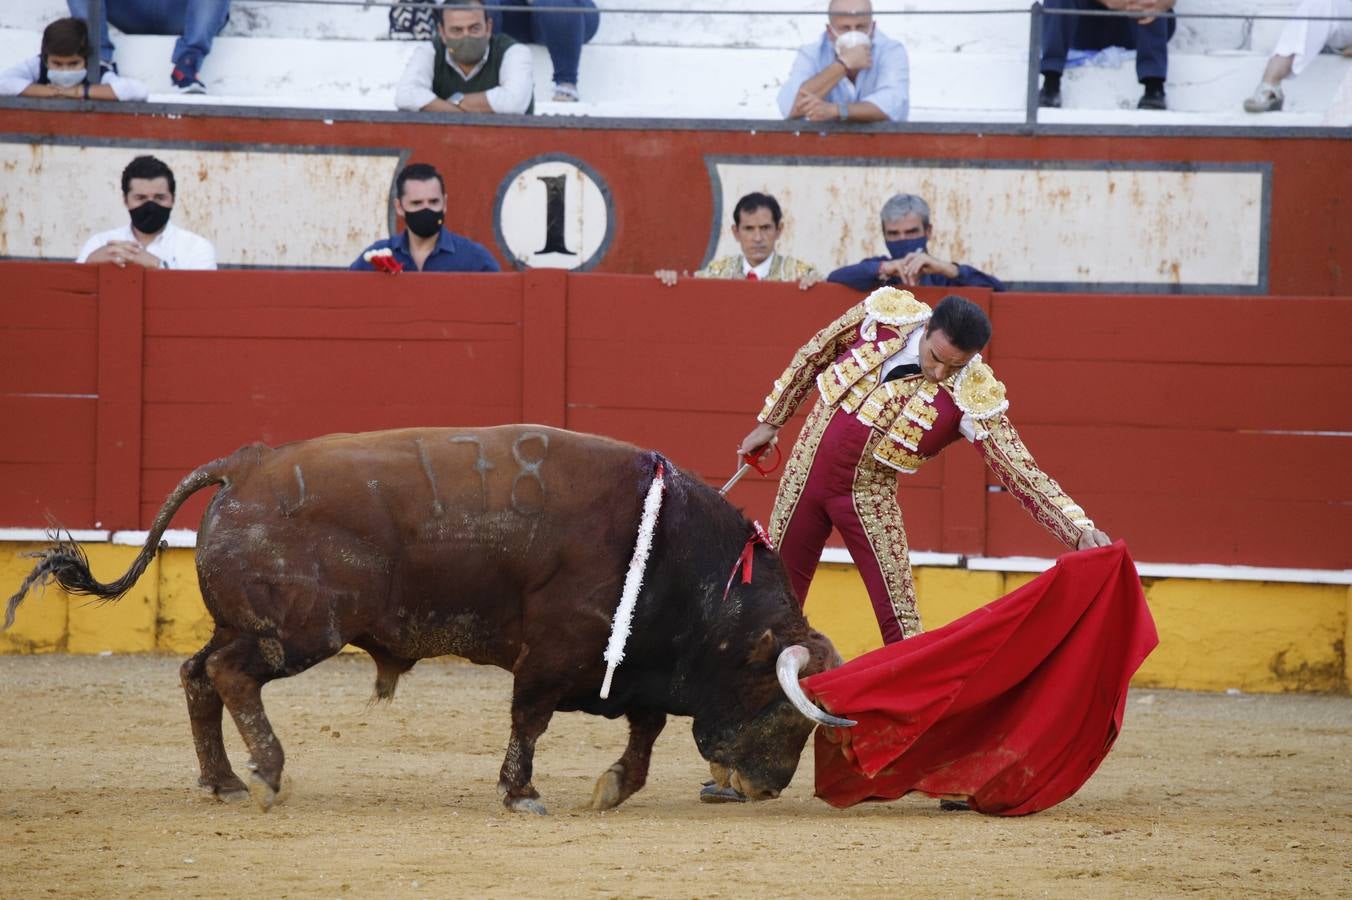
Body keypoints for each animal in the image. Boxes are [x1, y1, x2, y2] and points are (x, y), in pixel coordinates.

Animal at [5, 424, 849, 810]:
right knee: (226, 676)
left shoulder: (630, 666)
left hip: (248, 624)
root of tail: (247, 464)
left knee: (195, 675)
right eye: (786, 707)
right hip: (295, 633)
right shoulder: (555, 657)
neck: (670, 550)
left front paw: (611, 787)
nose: (768, 787)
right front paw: (521, 793)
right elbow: (529, 721)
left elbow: (642, 733)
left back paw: (224, 782)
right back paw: (268, 774)